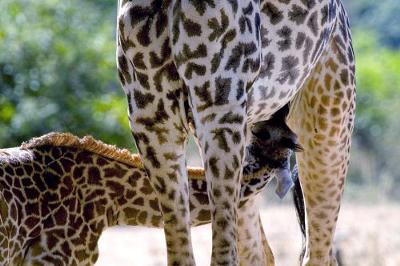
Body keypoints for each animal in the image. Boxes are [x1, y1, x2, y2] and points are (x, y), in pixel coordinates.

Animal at [116, 1, 356, 264]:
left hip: (328, 121)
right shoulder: (152, 118)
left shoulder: (220, 110)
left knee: (316, 251)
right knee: (264, 250)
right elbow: (181, 251)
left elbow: (223, 253)